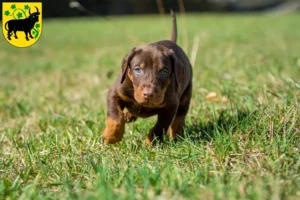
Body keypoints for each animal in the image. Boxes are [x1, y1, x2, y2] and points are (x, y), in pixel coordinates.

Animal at [102, 10, 192, 145]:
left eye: (164, 72)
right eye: (137, 69)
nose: (148, 94)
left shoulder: (171, 105)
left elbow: (160, 127)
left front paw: (151, 143)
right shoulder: (115, 92)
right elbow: (115, 116)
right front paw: (112, 136)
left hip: (186, 94)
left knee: (180, 116)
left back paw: (176, 134)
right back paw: (128, 114)